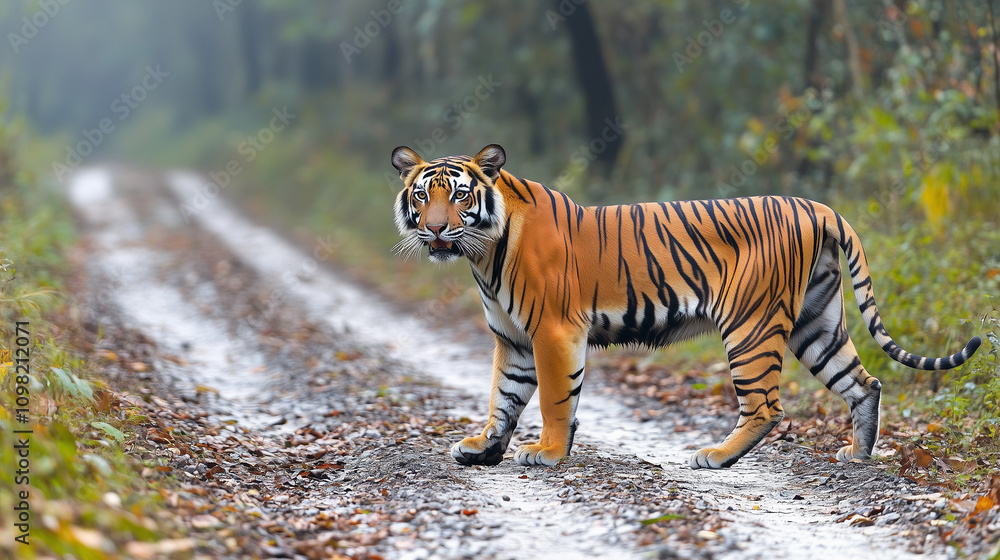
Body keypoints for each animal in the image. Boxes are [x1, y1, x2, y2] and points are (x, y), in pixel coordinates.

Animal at [390, 143, 981, 469]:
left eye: (460, 195)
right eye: (422, 195)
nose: (435, 229)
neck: (483, 252)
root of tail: (814, 205)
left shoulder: (553, 333)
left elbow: (555, 399)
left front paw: (548, 453)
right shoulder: (512, 339)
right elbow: (504, 397)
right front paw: (483, 447)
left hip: (750, 326)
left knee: (767, 406)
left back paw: (714, 456)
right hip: (817, 323)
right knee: (864, 383)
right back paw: (857, 456)